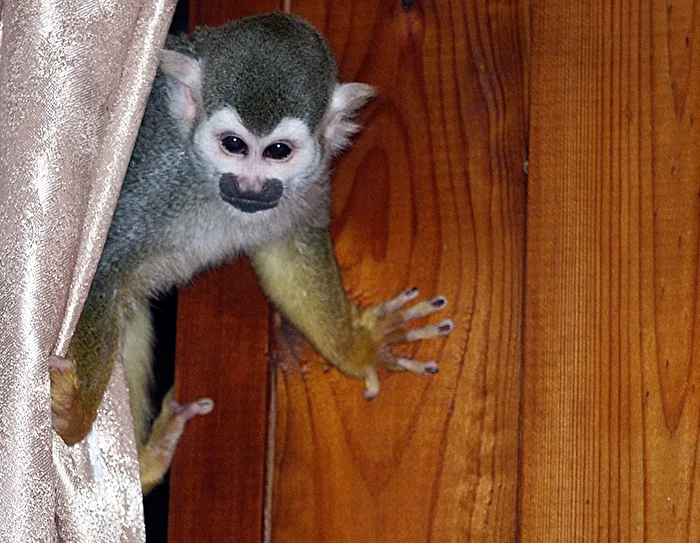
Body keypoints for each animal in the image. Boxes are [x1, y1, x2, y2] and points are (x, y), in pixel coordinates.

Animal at [49, 12, 453, 494]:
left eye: (278, 151)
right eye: (233, 145)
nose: (250, 187)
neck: (202, 181)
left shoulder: (304, 188)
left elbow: (288, 253)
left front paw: (359, 348)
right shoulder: (153, 177)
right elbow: (102, 272)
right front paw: (75, 417)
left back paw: (146, 464)